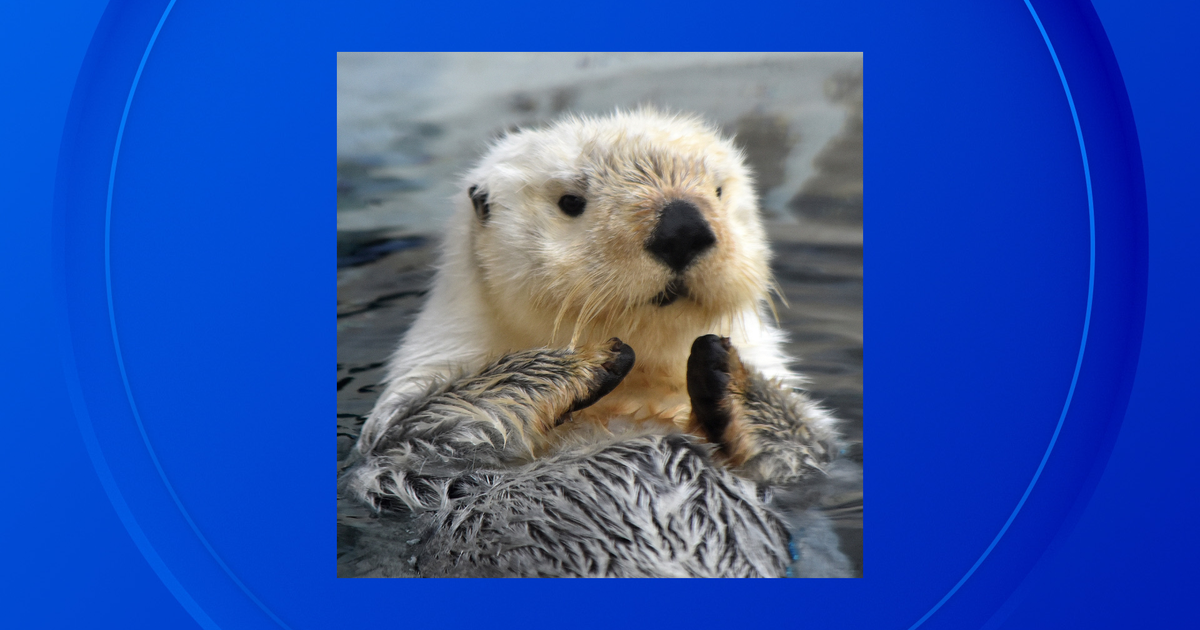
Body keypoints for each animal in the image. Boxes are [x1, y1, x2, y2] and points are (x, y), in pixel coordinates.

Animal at [340, 109, 851, 578]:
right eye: (570, 201)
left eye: (719, 192)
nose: (682, 226)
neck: (637, 395)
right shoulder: (401, 442)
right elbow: (416, 431)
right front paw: (586, 359)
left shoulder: (801, 464)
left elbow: (805, 446)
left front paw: (727, 369)